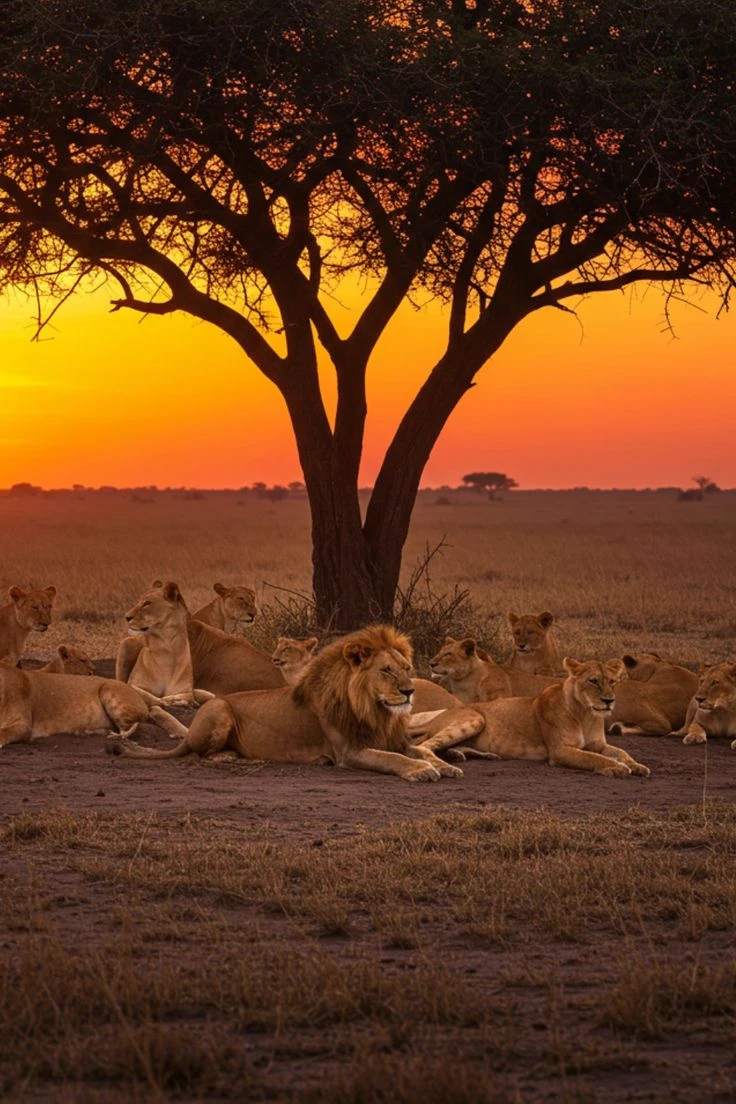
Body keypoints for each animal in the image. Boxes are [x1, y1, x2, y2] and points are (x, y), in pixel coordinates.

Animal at [0, 660, 181, 748]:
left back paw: (112, 735)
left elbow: (4, 732)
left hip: (109, 689)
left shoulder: (23, 724)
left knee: (134, 724)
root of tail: (132, 689)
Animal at [108, 624, 463, 783]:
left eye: (406, 668)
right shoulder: (350, 752)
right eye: (386, 670)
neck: (375, 709)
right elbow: (391, 759)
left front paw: (444, 765)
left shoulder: (393, 738)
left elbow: (420, 749)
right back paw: (230, 758)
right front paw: (421, 770)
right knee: (199, 754)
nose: (409, 692)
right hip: (219, 710)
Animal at [413, 658, 650, 777]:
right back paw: (447, 768)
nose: (609, 700)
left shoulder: (597, 744)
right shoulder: (559, 751)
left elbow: (621, 752)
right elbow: (593, 758)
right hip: (474, 718)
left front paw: (637, 765)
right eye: (593, 681)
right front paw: (617, 767)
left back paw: (473, 755)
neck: (586, 714)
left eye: (612, 682)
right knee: (424, 746)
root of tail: (442, 713)